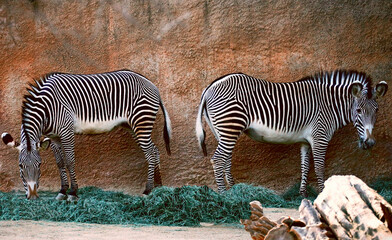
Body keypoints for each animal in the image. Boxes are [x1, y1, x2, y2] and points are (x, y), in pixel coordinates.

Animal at [1, 69, 171, 201]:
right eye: (20, 166)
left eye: (39, 165)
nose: (33, 197)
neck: (46, 109)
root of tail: (153, 85)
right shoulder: (54, 137)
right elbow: (60, 163)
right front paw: (62, 191)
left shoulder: (66, 131)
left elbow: (70, 162)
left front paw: (73, 193)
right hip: (132, 126)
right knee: (155, 150)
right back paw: (159, 187)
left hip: (141, 122)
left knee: (150, 153)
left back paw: (148, 190)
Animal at [198, 70, 388, 197]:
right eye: (358, 111)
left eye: (377, 111)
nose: (370, 143)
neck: (330, 106)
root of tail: (210, 86)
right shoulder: (320, 136)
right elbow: (319, 167)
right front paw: (322, 193)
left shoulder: (306, 140)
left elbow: (305, 166)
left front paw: (302, 194)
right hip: (230, 126)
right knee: (218, 159)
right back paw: (224, 196)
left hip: (222, 131)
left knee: (226, 159)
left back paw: (234, 192)